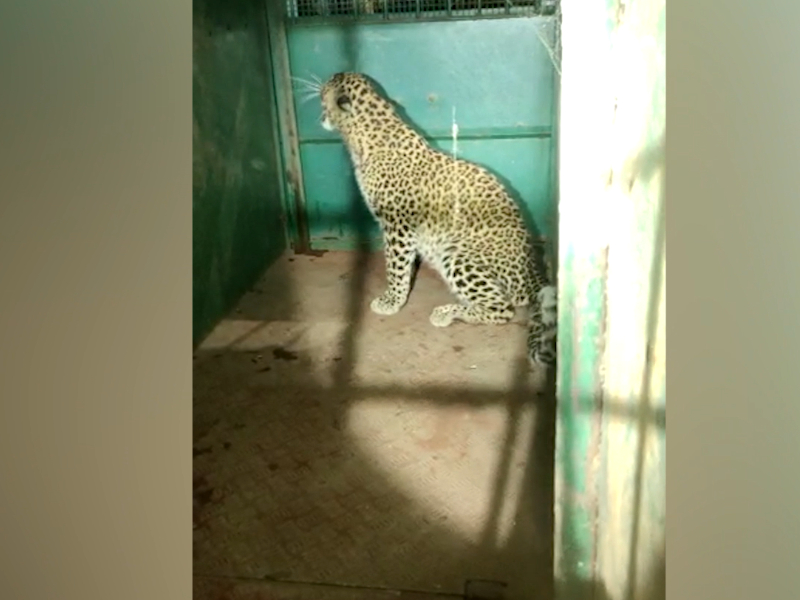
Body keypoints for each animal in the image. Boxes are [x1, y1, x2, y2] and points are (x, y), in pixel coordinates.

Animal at [318, 72, 556, 368]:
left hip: (456, 255)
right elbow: (405, 265)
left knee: (502, 309)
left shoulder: (397, 226)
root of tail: (533, 272)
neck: (363, 137)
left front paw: (391, 301)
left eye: (323, 95)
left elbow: (394, 266)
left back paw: (445, 313)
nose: (320, 112)